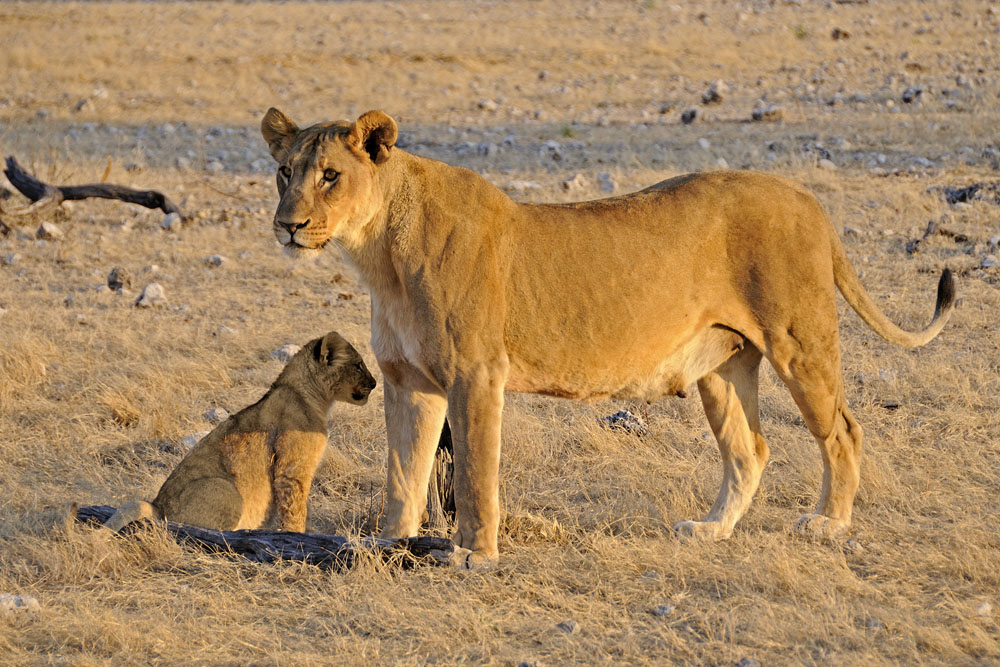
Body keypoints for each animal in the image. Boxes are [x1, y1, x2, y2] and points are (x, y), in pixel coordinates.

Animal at [104, 331, 376, 533]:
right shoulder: (292, 470)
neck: (317, 398)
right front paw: (297, 535)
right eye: (359, 365)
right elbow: (295, 507)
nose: (374, 383)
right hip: (226, 489)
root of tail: (157, 506)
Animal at [260, 107, 955, 568]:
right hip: (723, 366)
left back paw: (828, 524)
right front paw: (390, 547)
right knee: (749, 449)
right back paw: (711, 530)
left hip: (798, 341)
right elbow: (403, 476)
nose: (286, 225)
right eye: (284, 173)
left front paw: (474, 556)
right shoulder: (409, 383)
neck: (379, 253)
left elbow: (476, 475)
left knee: (842, 431)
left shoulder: (476, 376)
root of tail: (807, 197)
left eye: (330, 176)